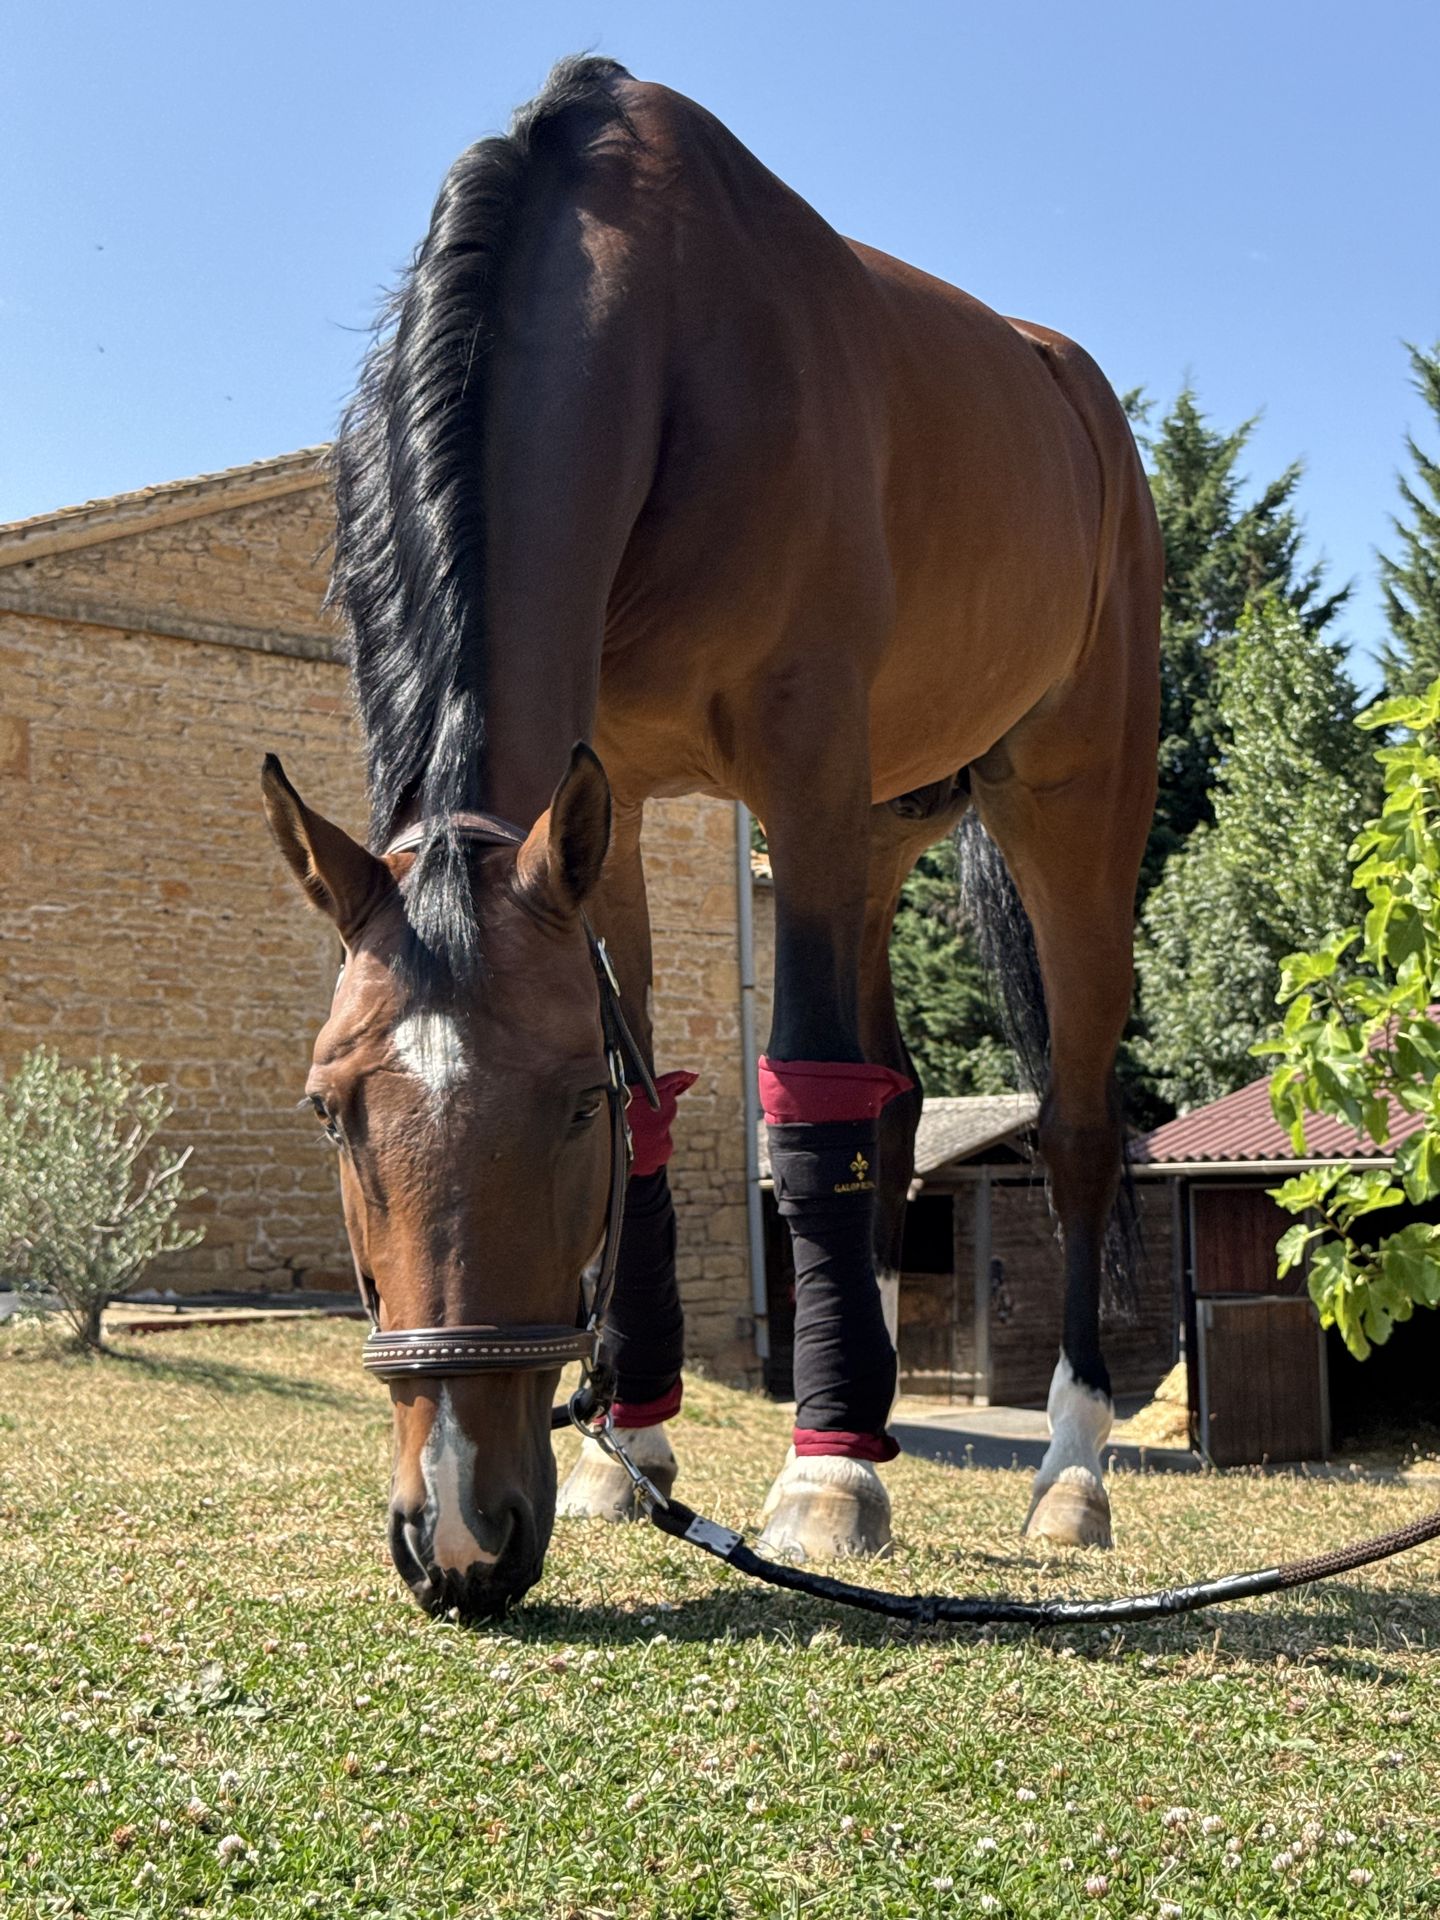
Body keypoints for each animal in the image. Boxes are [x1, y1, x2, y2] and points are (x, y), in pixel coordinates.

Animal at [262, 56, 1161, 1619]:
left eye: (564, 1101)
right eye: (331, 1108)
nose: (460, 1536)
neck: (667, 337)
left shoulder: (801, 753)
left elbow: (795, 1100)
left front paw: (825, 1480)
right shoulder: (604, 793)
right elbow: (695, 1104)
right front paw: (633, 1451)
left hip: (1067, 804)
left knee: (1075, 1126)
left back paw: (1066, 1472)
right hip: (875, 830)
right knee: (896, 1097)